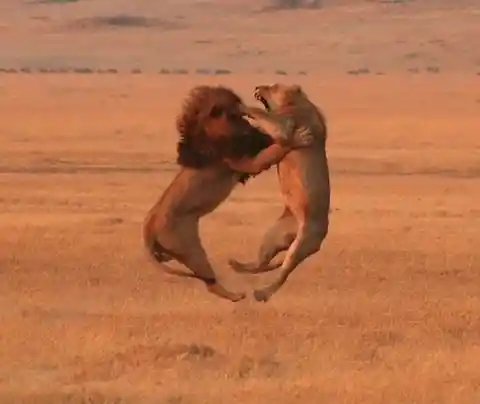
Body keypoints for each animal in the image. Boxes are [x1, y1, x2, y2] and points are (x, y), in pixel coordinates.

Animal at [142, 85, 312, 302]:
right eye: (233, 105)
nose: (244, 104)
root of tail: (148, 227)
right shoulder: (245, 161)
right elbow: (274, 149)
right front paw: (300, 137)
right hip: (191, 249)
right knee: (210, 282)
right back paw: (237, 296)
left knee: (208, 282)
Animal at [229, 83, 330, 302]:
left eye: (273, 86)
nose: (258, 86)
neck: (296, 102)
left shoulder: (286, 125)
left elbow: (263, 114)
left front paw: (241, 106)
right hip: (274, 235)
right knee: (261, 264)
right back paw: (238, 265)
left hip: (303, 242)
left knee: (283, 272)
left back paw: (262, 293)